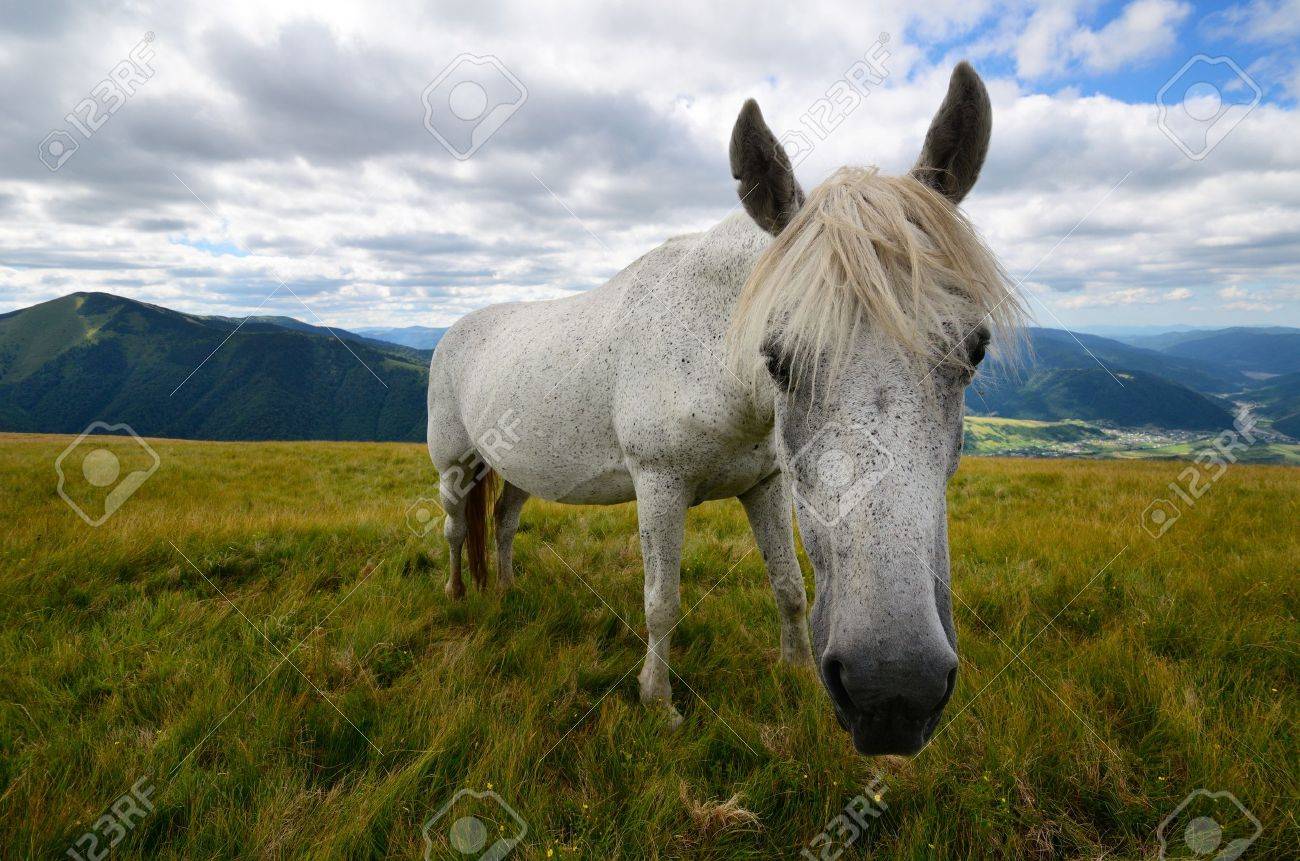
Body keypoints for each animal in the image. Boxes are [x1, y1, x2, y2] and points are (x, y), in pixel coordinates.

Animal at [426, 62, 1023, 755]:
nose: (893, 690)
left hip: (518, 466)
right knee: (454, 528)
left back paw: (506, 589)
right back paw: (457, 592)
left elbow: (789, 586)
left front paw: (794, 671)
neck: (710, 357)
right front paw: (659, 702)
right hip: (454, 465)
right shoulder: (659, 484)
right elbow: (662, 601)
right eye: (777, 360)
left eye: (976, 350)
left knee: (503, 521)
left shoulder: (765, 485)